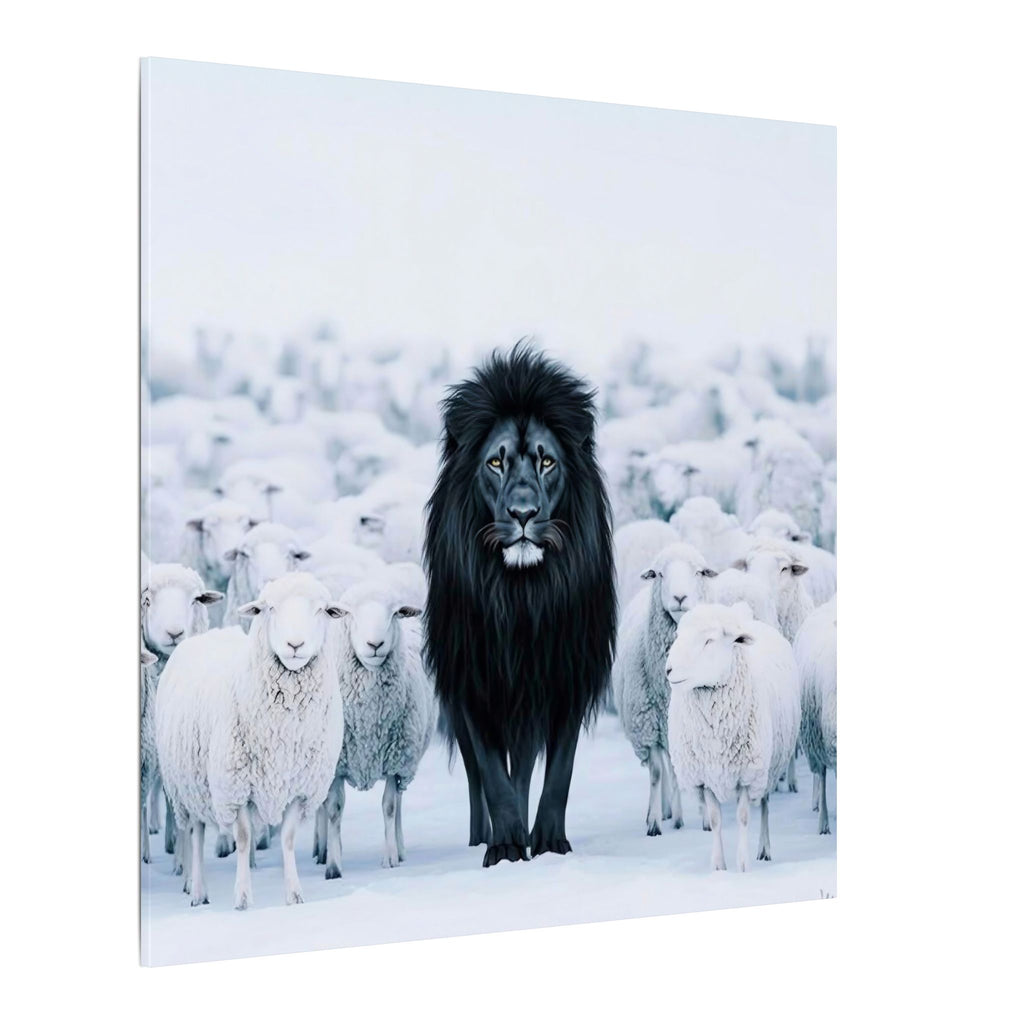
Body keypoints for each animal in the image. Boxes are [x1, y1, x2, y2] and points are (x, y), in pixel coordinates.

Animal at [155, 573, 345, 908]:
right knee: (195, 833)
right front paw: (242, 897)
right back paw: (197, 890)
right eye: (270, 608)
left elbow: (288, 838)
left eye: (321, 610)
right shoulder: (236, 786)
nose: (294, 645)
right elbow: (242, 838)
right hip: (188, 787)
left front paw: (294, 895)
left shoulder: (299, 787)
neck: (284, 729)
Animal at [316, 576, 433, 877]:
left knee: (400, 804)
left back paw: (400, 850)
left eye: (395, 613)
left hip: (407, 763)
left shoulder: (395, 761)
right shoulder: (337, 764)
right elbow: (334, 809)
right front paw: (333, 866)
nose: (375, 644)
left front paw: (390, 858)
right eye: (349, 613)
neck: (369, 718)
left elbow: (389, 807)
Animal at [423, 342, 616, 866]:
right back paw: (482, 838)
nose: (524, 514)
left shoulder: (566, 676)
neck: (523, 595)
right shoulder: (474, 680)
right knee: (479, 778)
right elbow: (493, 776)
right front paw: (506, 847)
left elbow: (558, 773)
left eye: (547, 463)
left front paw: (548, 843)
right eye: (496, 463)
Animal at [612, 542, 717, 835]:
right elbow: (657, 774)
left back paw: (679, 816)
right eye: (659, 573)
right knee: (664, 769)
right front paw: (655, 823)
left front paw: (707, 821)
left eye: (699, 572)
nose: (680, 597)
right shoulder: (646, 729)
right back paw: (667, 812)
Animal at [666, 602, 800, 870]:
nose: (668, 669)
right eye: (678, 635)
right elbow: (715, 820)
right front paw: (719, 866)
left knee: (765, 806)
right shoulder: (704, 777)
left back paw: (764, 849)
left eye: (708, 640)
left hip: (767, 768)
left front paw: (743, 864)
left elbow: (743, 817)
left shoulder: (747, 776)